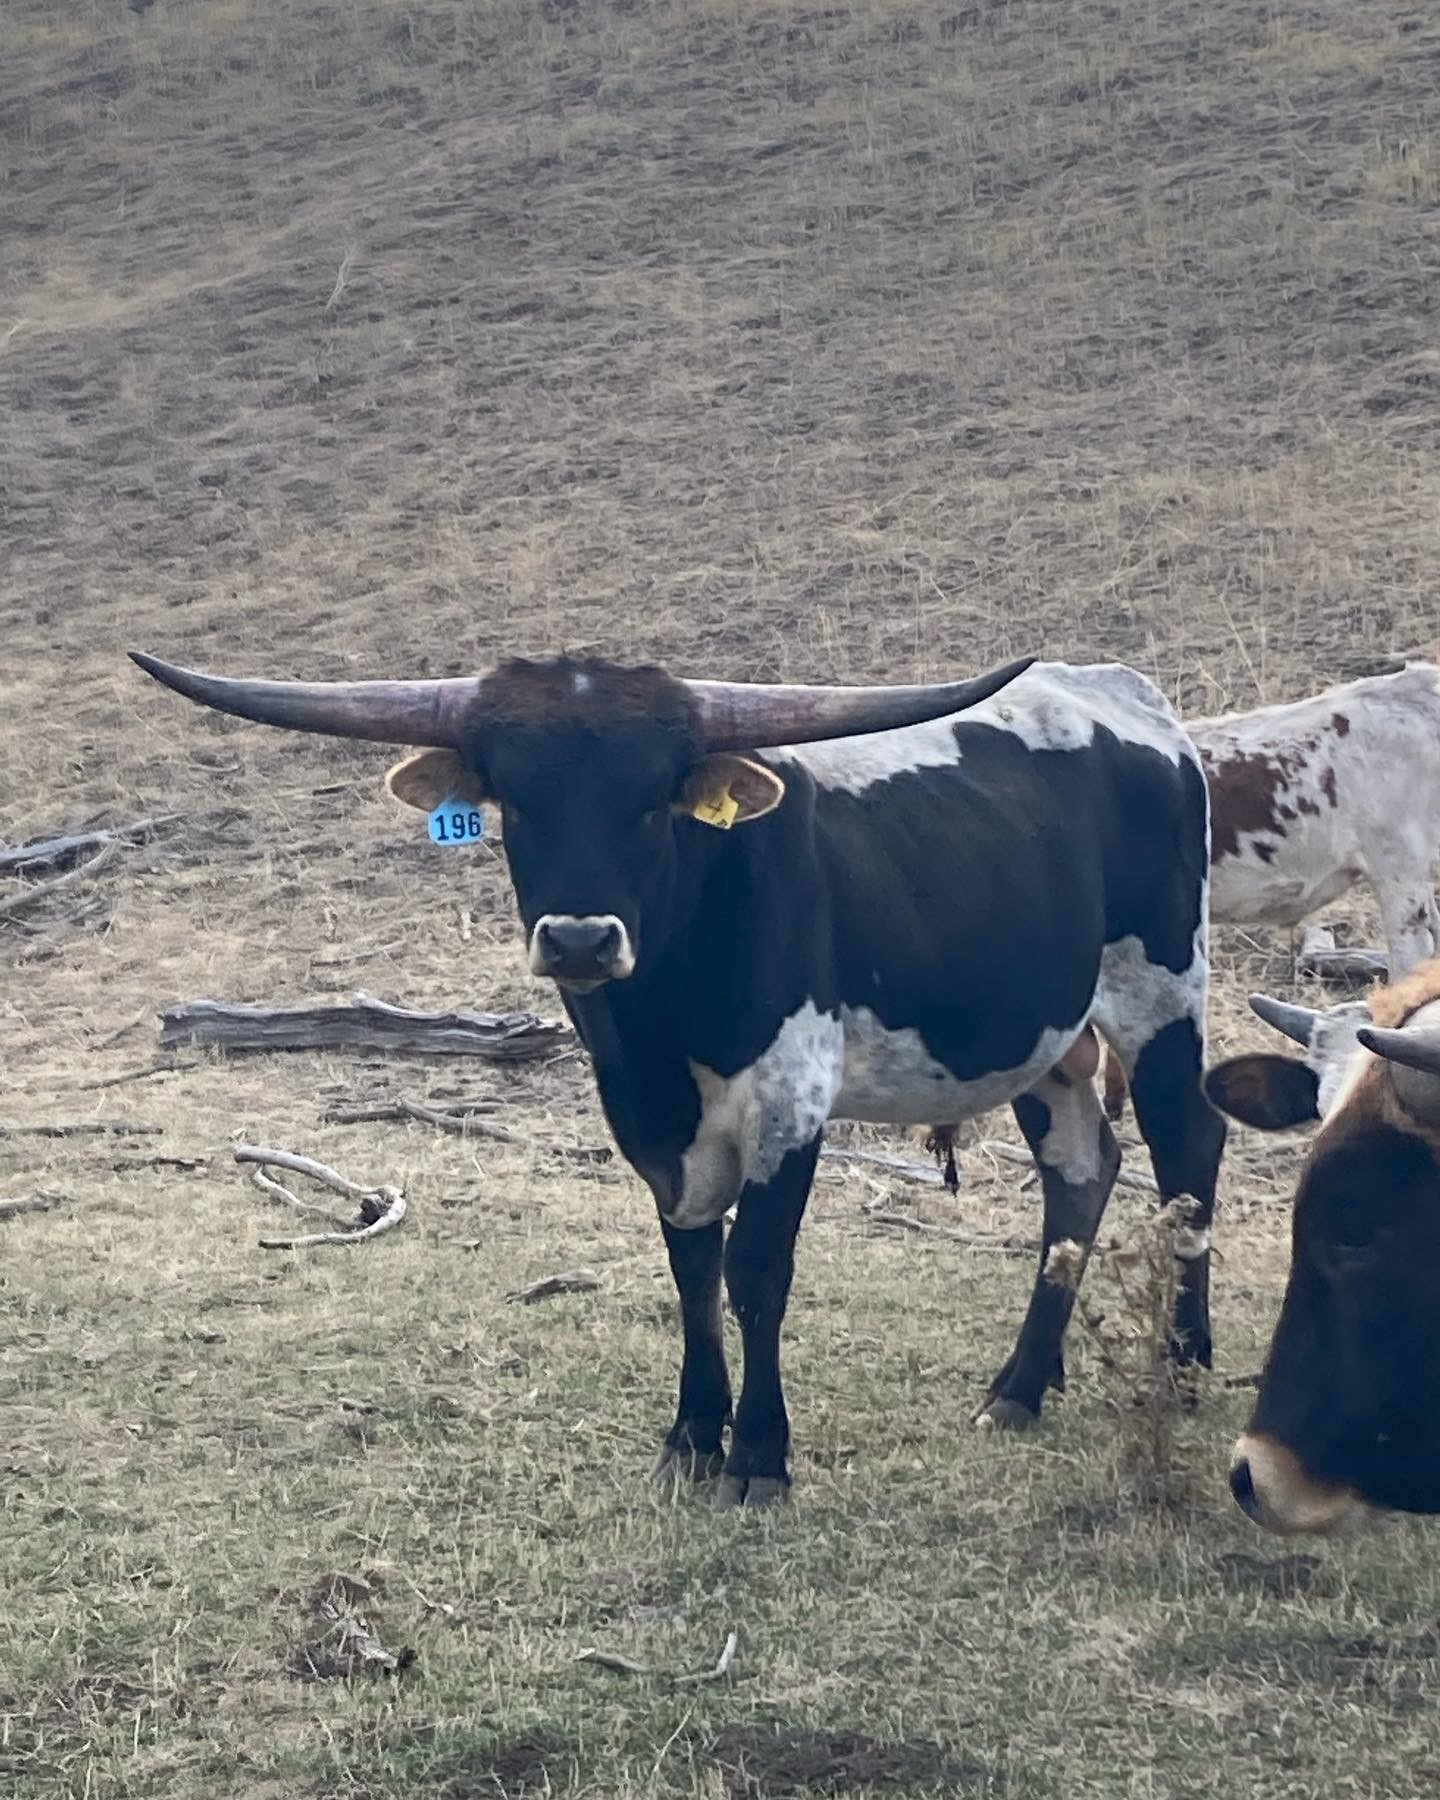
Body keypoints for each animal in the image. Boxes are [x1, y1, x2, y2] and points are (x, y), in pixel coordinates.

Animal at [130, 647, 1227, 1507]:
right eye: (513, 799)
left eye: (655, 803)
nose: (579, 938)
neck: (659, 1024)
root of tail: (1127, 696)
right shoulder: (652, 1122)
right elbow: (692, 1269)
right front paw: (691, 1439)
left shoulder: (790, 1100)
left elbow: (756, 1271)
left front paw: (759, 1457)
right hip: (1046, 1036)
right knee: (1083, 1171)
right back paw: (1021, 1387)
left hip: (1160, 990)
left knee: (1188, 1149)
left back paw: (1184, 1368)